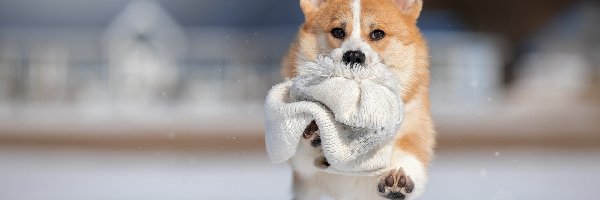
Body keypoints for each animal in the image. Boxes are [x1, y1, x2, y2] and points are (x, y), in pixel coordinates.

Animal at [282, 0, 436, 200]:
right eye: (338, 31)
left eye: (377, 33)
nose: (354, 55)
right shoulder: (305, 171)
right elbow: (302, 156)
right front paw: (318, 135)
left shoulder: (414, 126)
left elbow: (410, 154)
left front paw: (397, 180)